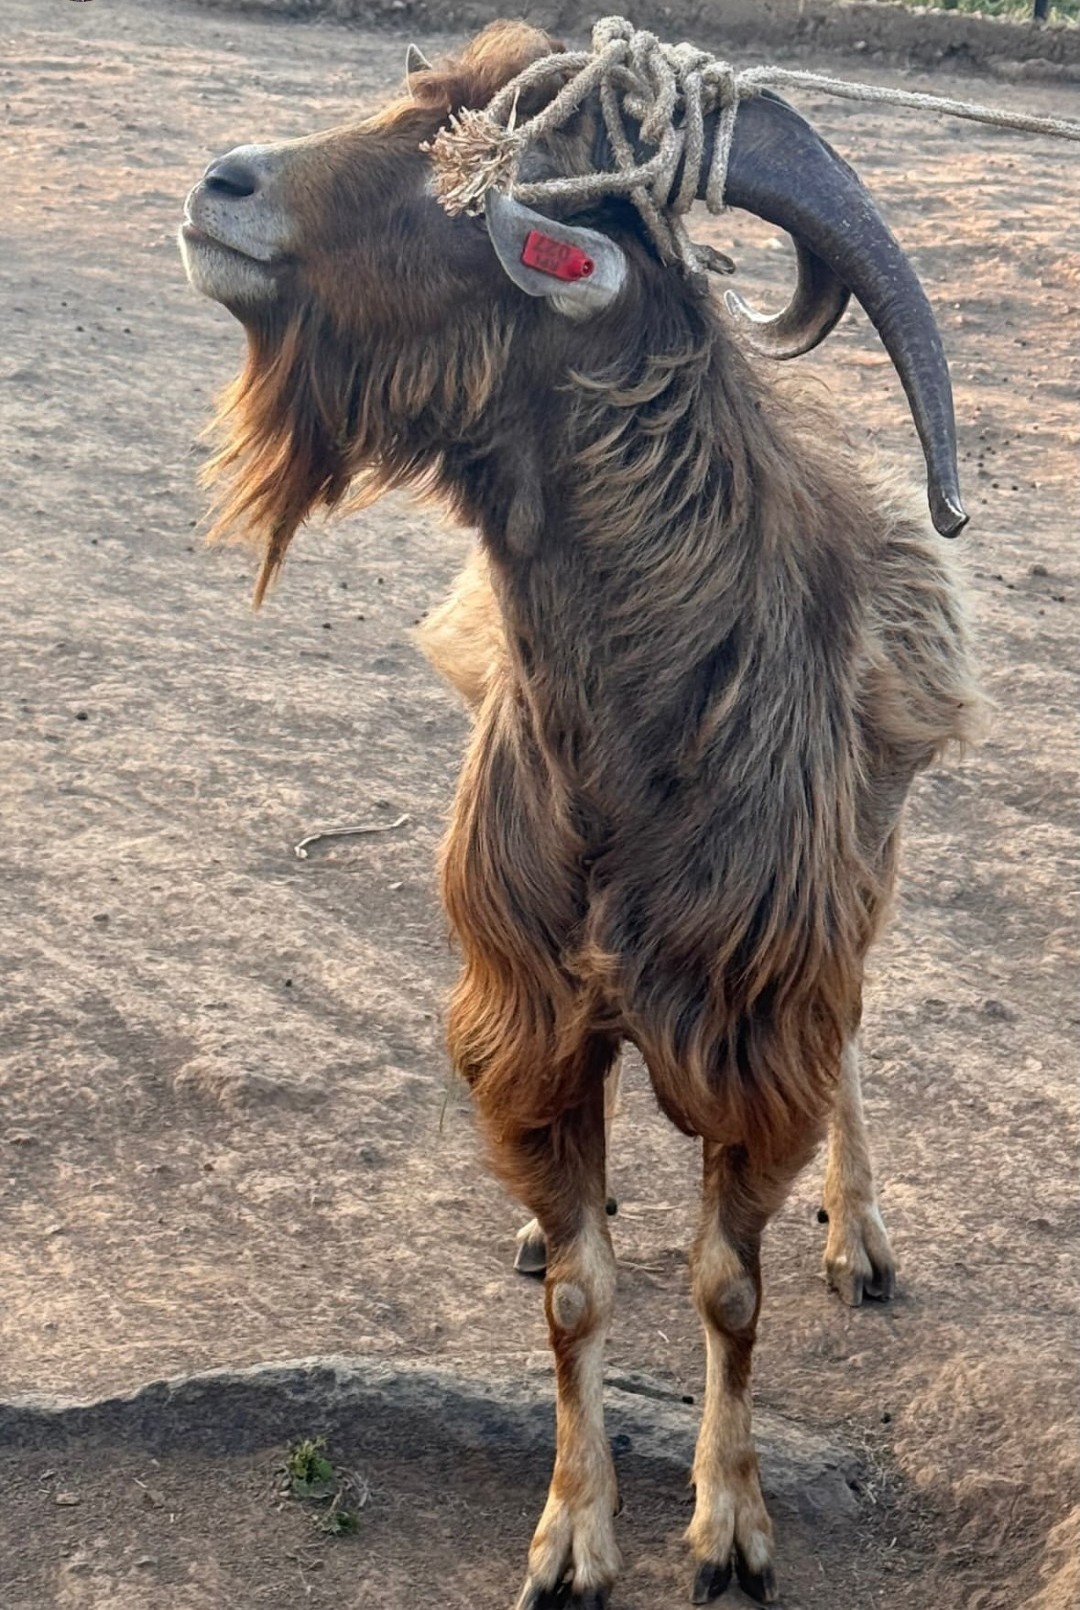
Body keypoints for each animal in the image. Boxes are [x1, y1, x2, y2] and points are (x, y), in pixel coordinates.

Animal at [180, 23, 980, 1607]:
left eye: (483, 176)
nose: (221, 184)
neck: (640, 747)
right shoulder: (535, 1010)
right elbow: (573, 1292)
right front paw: (568, 1535)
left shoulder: (756, 1012)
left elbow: (728, 1286)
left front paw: (730, 1527)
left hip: (864, 877)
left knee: (859, 1043)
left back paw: (860, 1235)